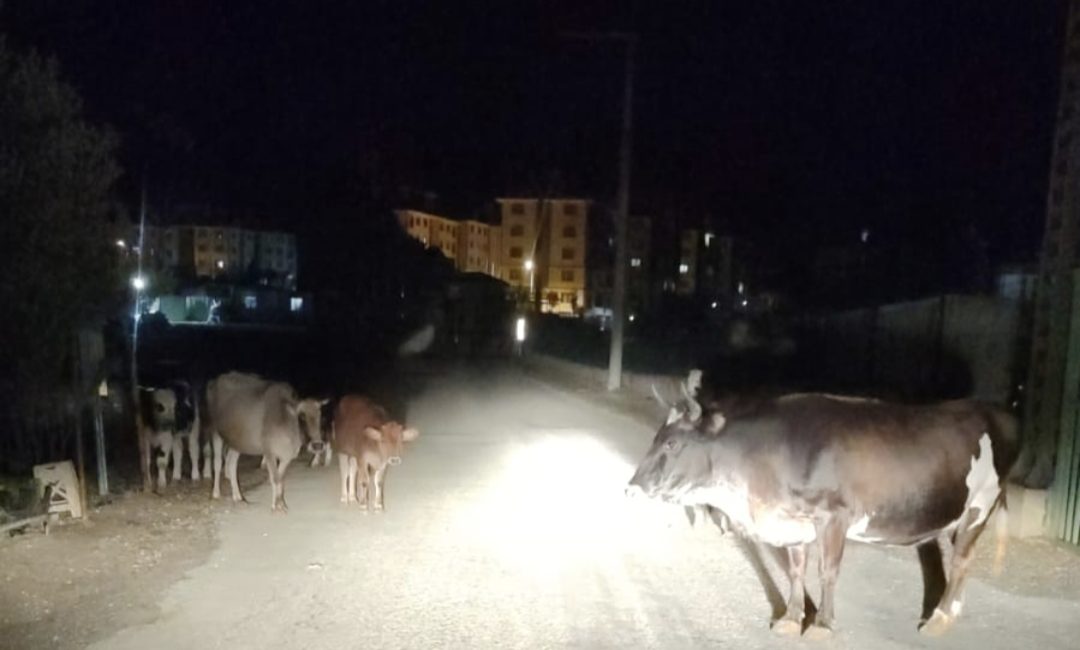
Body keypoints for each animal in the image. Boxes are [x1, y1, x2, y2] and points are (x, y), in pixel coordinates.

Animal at [203, 369, 324, 511]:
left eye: (320, 416)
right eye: (302, 416)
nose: (317, 445)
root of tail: (214, 381)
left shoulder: (286, 456)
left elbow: (280, 478)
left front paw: (281, 502)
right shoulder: (269, 452)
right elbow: (275, 478)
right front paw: (276, 506)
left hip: (237, 442)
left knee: (232, 464)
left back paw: (238, 497)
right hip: (215, 432)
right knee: (217, 463)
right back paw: (216, 494)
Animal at [630, 373, 1015, 639]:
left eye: (672, 443)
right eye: (656, 438)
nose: (632, 488)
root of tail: (990, 408)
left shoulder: (834, 516)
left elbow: (827, 571)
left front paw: (822, 625)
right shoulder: (792, 518)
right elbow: (796, 569)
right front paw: (790, 617)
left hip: (982, 503)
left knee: (962, 559)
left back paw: (940, 618)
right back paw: (952, 611)